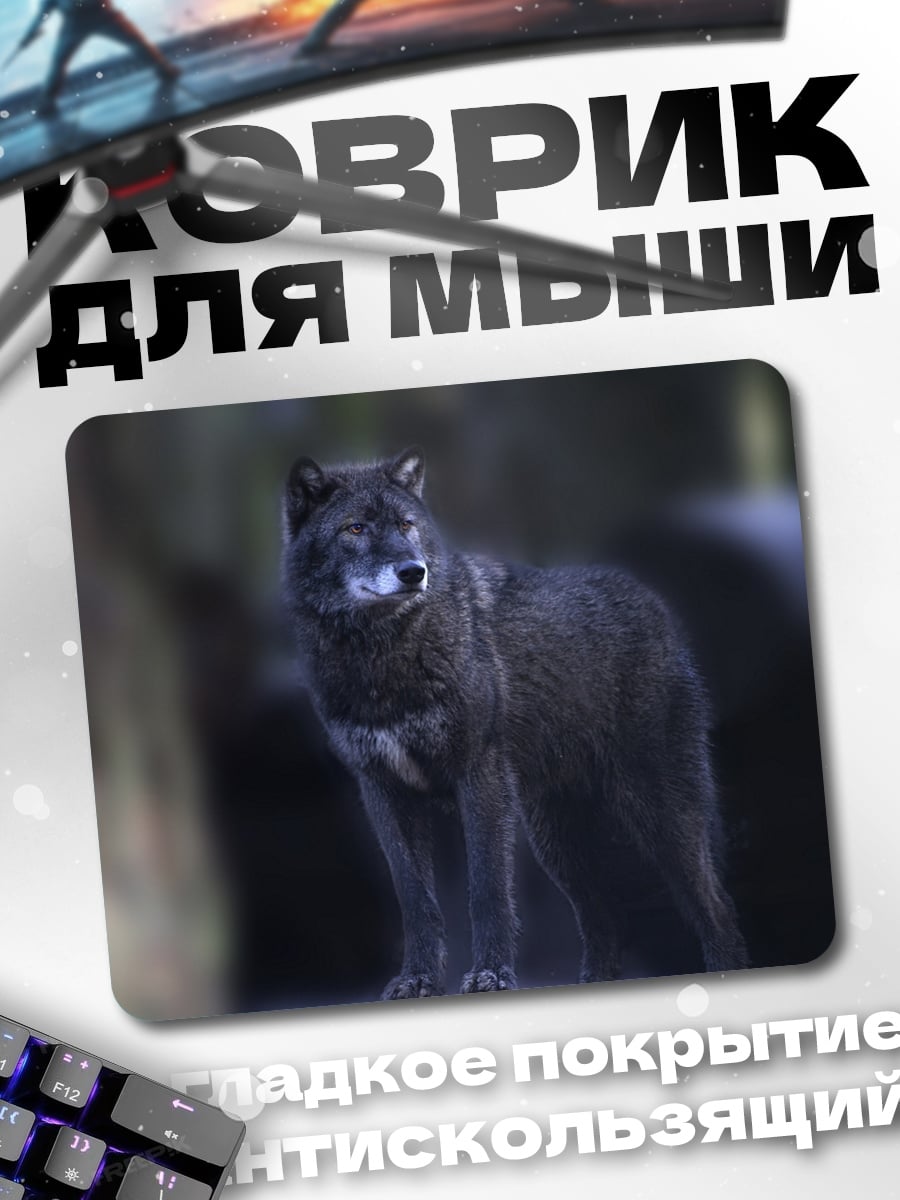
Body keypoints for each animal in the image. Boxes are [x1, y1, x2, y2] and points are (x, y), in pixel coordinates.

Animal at [281, 446, 749, 998]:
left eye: (406, 525)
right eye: (354, 528)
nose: (413, 571)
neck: (381, 658)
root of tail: (656, 605)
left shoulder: (477, 776)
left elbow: (487, 889)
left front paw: (491, 975)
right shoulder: (381, 790)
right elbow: (415, 901)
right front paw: (417, 979)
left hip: (660, 819)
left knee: (716, 907)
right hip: (559, 843)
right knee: (604, 919)